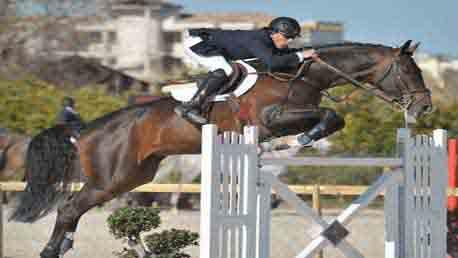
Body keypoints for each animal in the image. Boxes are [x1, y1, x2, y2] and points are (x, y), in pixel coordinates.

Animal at [9, 40, 432, 258]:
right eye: (408, 71)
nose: (425, 107)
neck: (301, 74)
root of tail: (88, 128)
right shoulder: (273, 117)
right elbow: (329, 115)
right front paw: (302, 139)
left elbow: (332, 118)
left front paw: (304, 139)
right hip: (110, 178)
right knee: (68, 208)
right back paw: (51, 251)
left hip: (132, 176)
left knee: (75, 209)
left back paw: (62, 246)